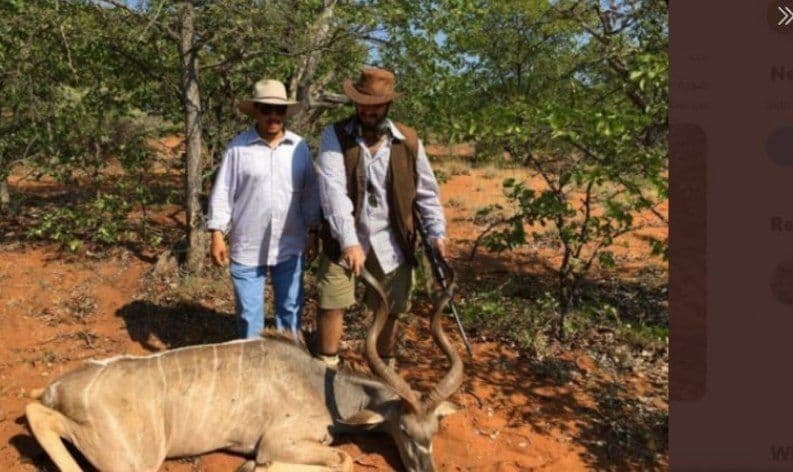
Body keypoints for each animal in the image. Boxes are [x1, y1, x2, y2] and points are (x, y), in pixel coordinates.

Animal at [25, 268, 464, 471]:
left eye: (435, 431)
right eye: (404, 428)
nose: (426, 469)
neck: (319, 386)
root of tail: (59, 388)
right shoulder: (278, 441)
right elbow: (342, 459)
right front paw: (252, 464)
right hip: (134, 459)